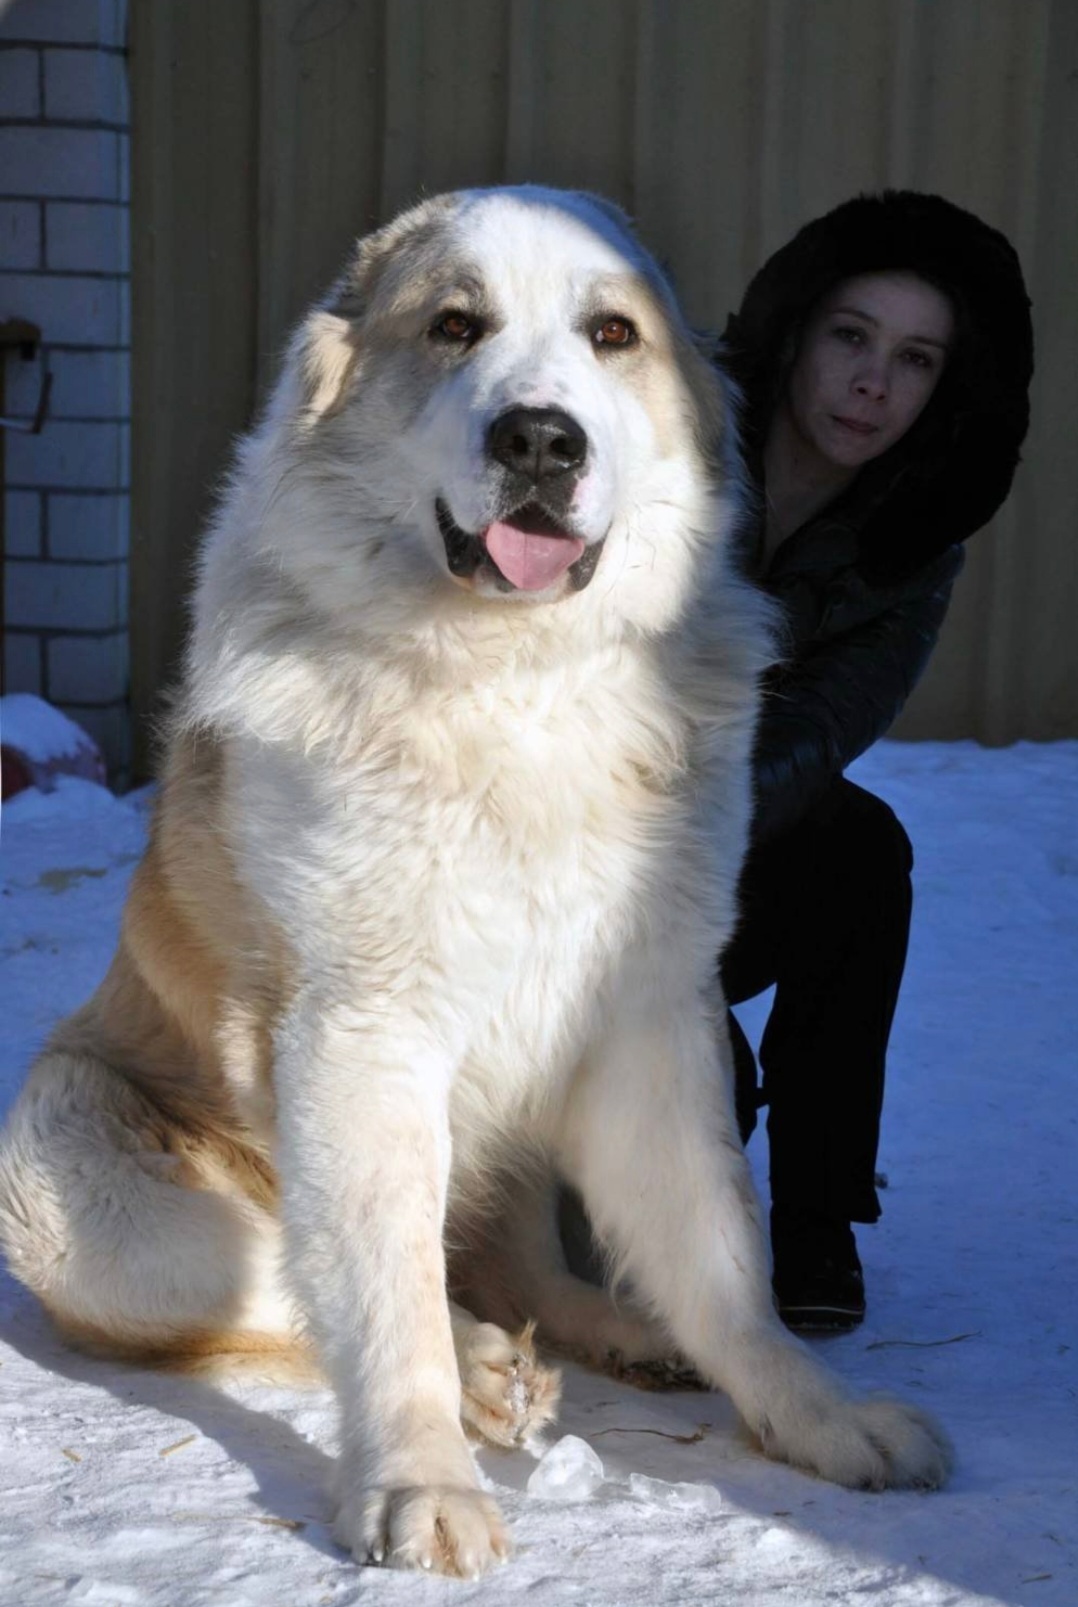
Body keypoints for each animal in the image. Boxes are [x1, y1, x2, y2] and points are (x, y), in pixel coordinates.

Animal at [0, 184, 944, 1568]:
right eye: (455, 325)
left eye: (612, 333)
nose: (540, 438)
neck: (512, 678)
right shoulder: (361, 1037)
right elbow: (381, 1292)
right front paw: (421, 1479)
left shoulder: (648, 1016)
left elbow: (723, 1252)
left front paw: (814, 1412)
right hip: (57, 1148)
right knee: (302, 1278)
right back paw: (490, 1372)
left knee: (515, 1262)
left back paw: (617, 1335)